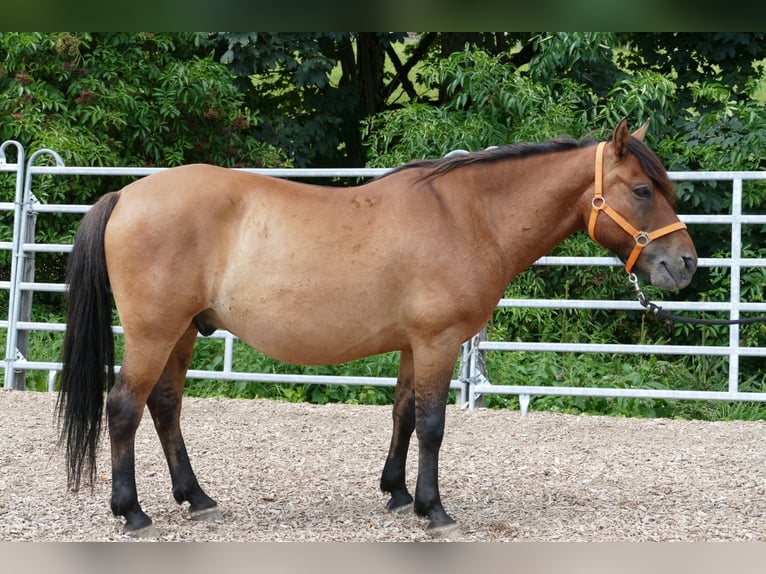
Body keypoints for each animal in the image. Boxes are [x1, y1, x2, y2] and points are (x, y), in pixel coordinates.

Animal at [57, 118, 700, 540]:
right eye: (643, 190)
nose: (686, 264)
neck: (470, 217)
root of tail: (125, 194)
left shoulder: (415, 345)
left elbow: (405, 414)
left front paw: (396, 493)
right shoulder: (439, 341)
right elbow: (434, 425)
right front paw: (433, 510)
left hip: (184, 333)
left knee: (164, 406)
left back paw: (197, 498)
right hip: (154, 332)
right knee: (124, 407)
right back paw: (132, 512)